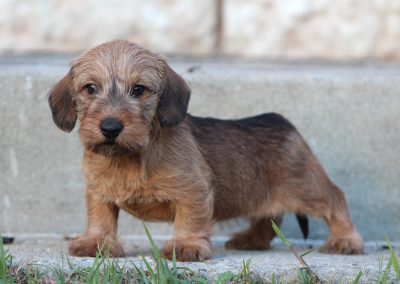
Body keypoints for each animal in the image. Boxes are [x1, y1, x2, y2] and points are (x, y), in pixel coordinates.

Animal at [48, 38, 364, 260]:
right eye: (90, 88)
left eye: (139, 89)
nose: (111, 128)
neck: (130, 157)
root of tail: (284, 123)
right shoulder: (98, 193)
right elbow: (101, 218)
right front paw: (96, 242)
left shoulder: (193, 191)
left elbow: (190, 219)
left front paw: (186, 246)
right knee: (270, 217)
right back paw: (251, 239)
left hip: (307, 187)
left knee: (336, 198)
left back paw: (345, 239)